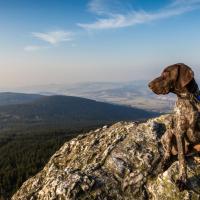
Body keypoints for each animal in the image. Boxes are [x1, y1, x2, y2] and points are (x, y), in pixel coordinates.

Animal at [148, 63, 200, 191]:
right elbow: (182, 160)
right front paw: (182, 180)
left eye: (166, 73)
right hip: (169, 133)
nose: (149, 85)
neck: (189, 98)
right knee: (167, 153)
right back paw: (164, 163)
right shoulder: (179, 131)